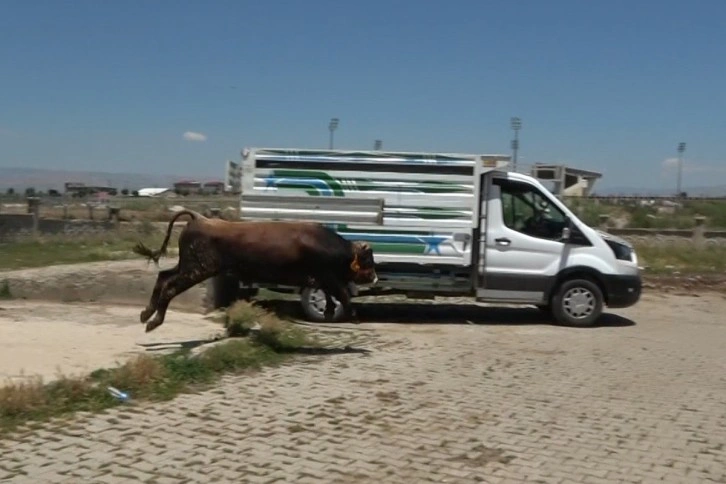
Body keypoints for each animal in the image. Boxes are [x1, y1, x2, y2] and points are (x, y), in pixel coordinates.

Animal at [133, 211, 378, 332]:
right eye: (367, 260)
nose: (375, 277)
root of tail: (200, 219)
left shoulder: (320, 278)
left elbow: (330, 294)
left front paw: (329, 311)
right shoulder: (327, 276)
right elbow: (342, 294)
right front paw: (354, 317)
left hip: (187, 266)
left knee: (163, 276)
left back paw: (146, 313)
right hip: (197, 270)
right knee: (169, 287)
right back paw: (153, 322)